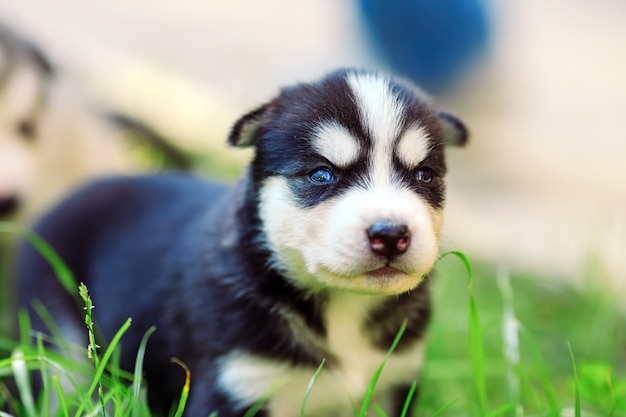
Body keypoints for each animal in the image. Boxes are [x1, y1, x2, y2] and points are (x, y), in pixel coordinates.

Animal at [17, 66, 466, 414]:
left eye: (424, 175)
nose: (391, 234)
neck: (341, 309)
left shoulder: (395, 381)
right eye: (321, 174)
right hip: (56, 342)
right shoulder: (236, 385)